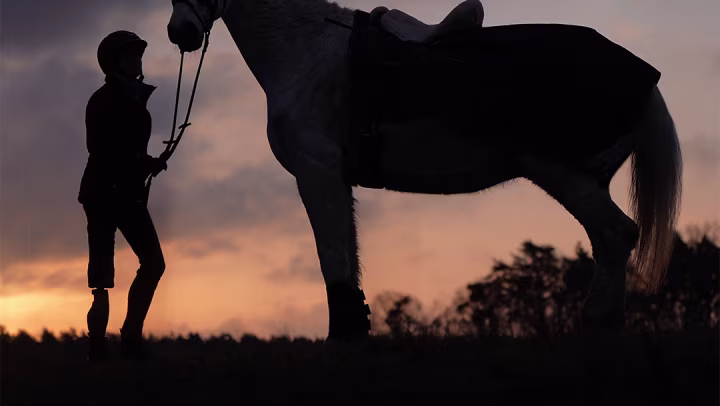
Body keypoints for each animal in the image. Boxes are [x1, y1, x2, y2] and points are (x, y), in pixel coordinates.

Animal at [167, 0, 682, 341]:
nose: (180, 33)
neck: (303, 49)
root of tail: (643, 76)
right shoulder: (336, 180)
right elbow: (348, 262)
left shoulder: (317, 173)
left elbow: (332, 259)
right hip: (587, 178)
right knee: (609, 241)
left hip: (561, 172)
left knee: (615, 233)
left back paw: (593, 325)